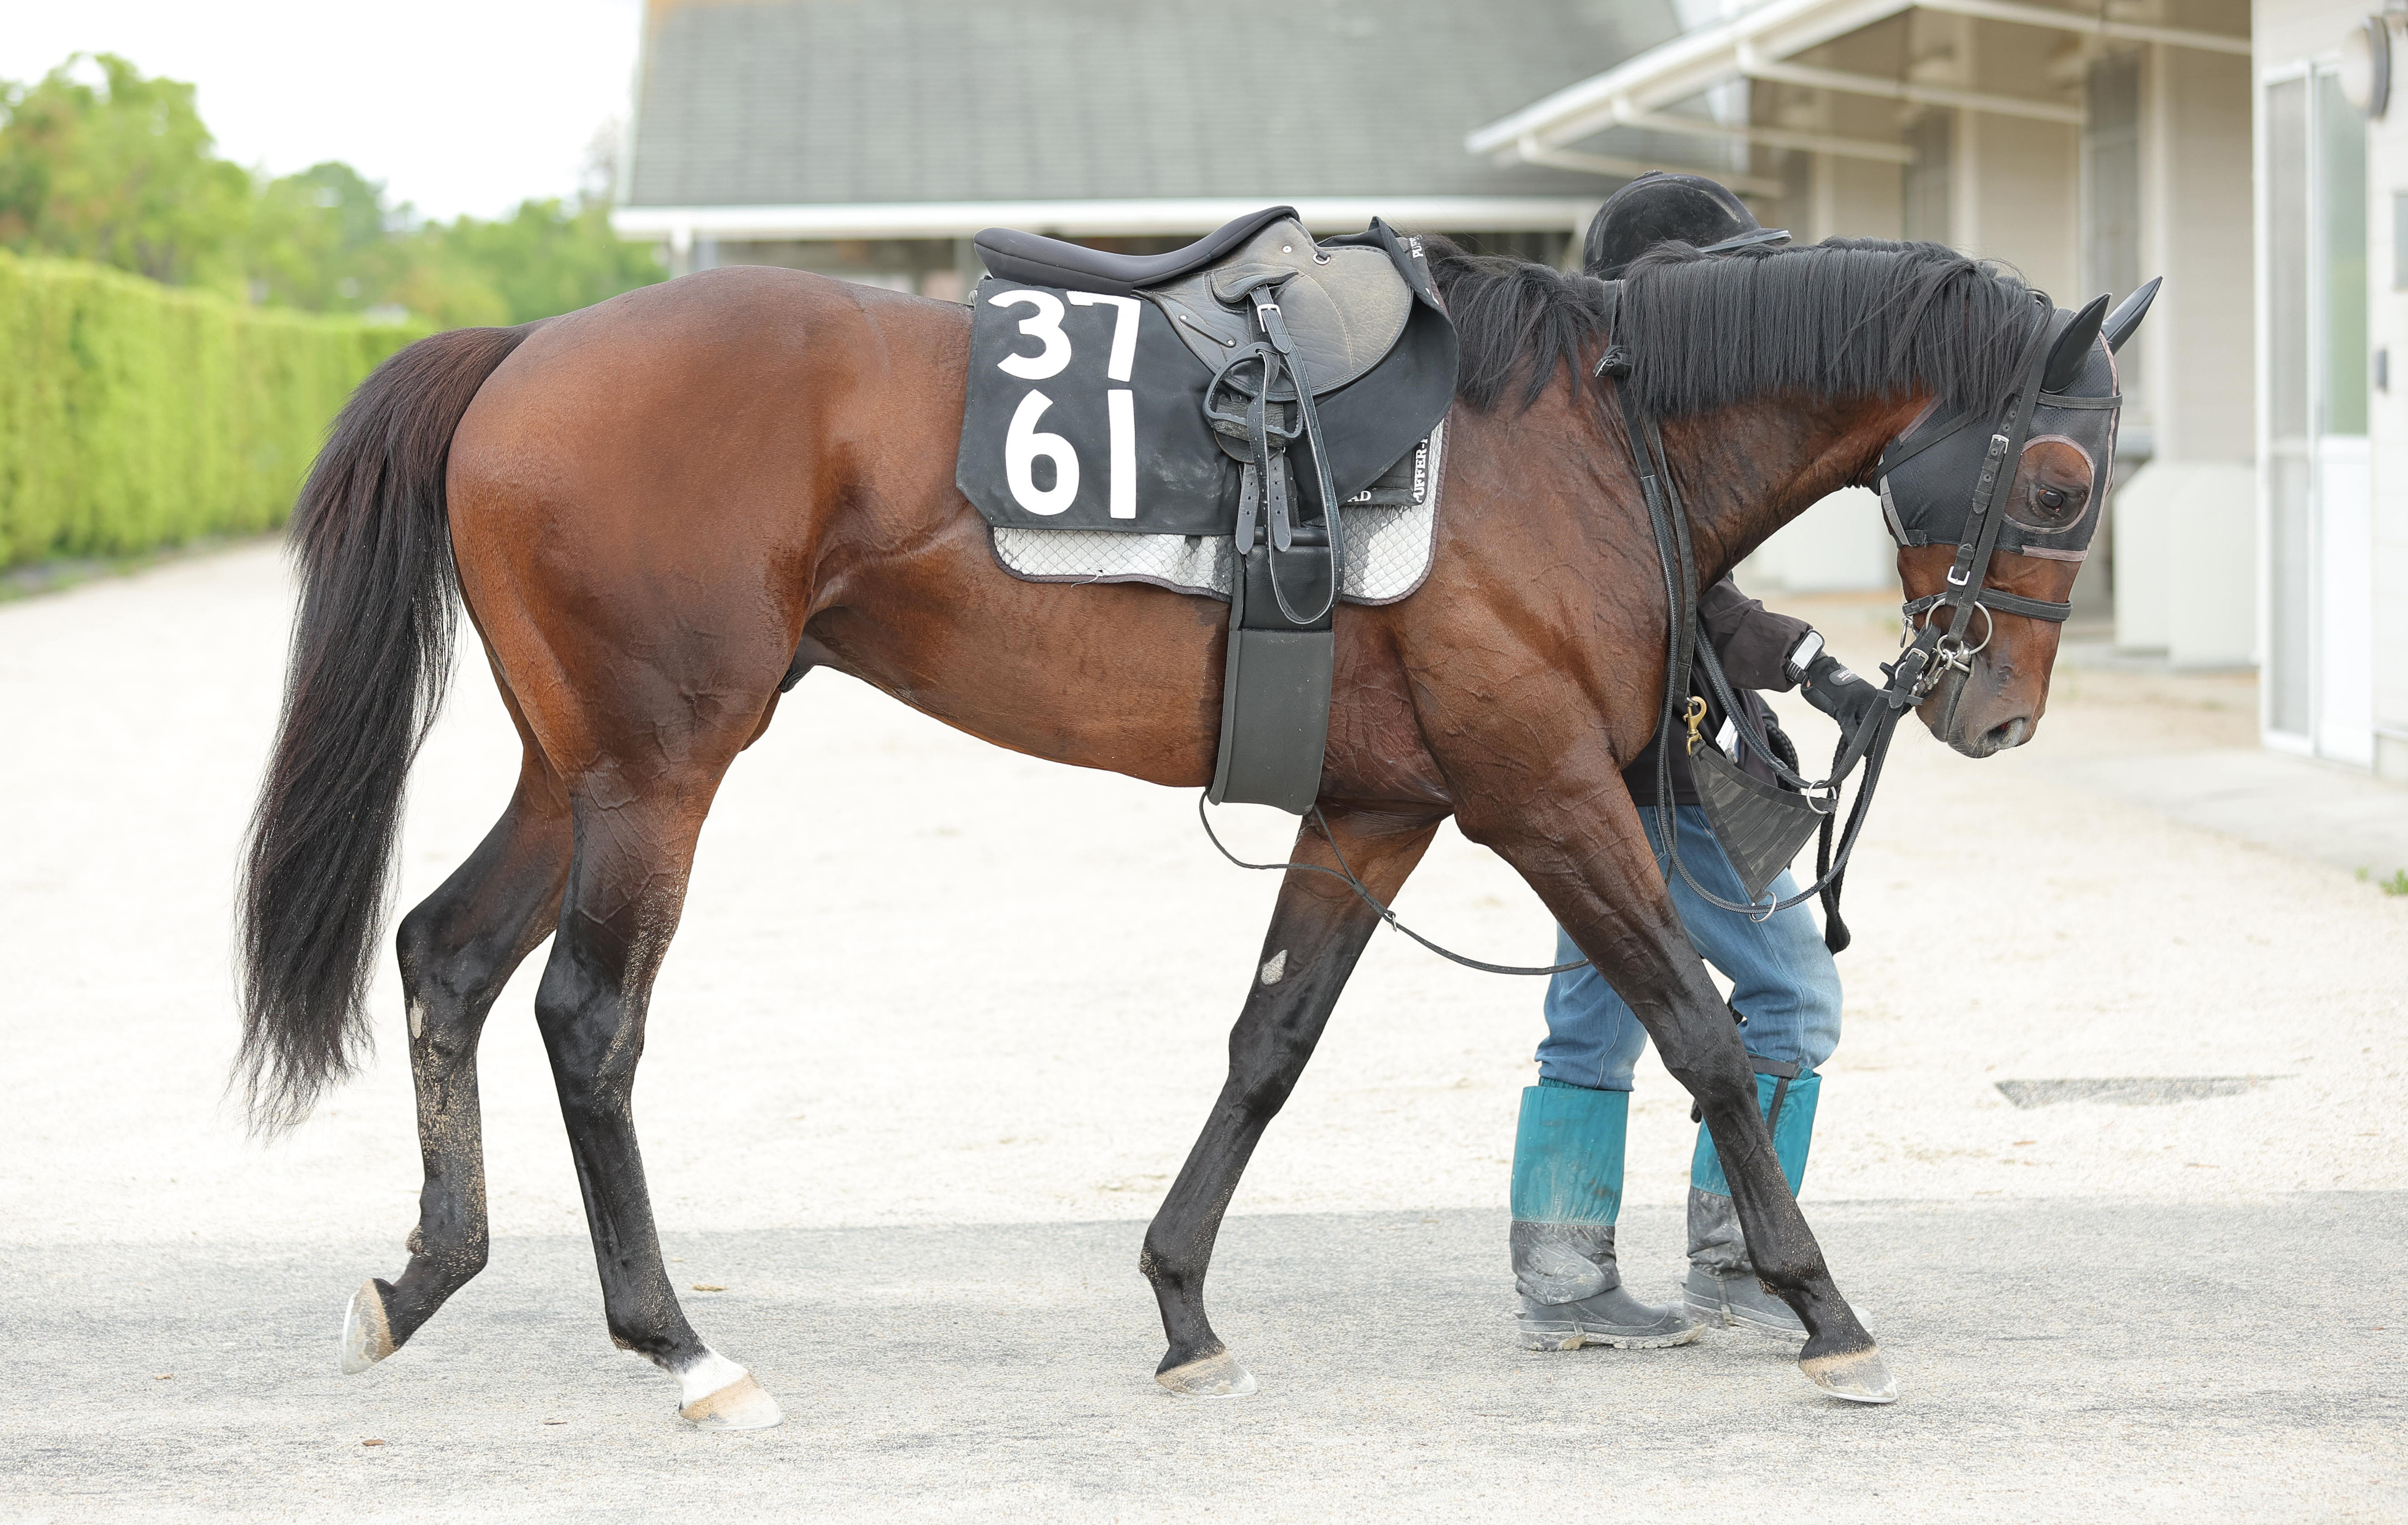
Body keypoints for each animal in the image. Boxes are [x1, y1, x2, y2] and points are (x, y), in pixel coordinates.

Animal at [237, 235, 2129, 1428]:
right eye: (2055, 480)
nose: (1995, 709)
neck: (1572, 443)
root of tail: (524, 354)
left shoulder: (1380, 807)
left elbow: (1267, 1045)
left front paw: (1179, 1306)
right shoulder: (1540, 794)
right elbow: (1705, 1033)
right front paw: (1826, 1313)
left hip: (576, 767)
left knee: (448, 955)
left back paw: (424, 1274)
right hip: (658, 766)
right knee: (587, 1018)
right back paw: (676, 1344)